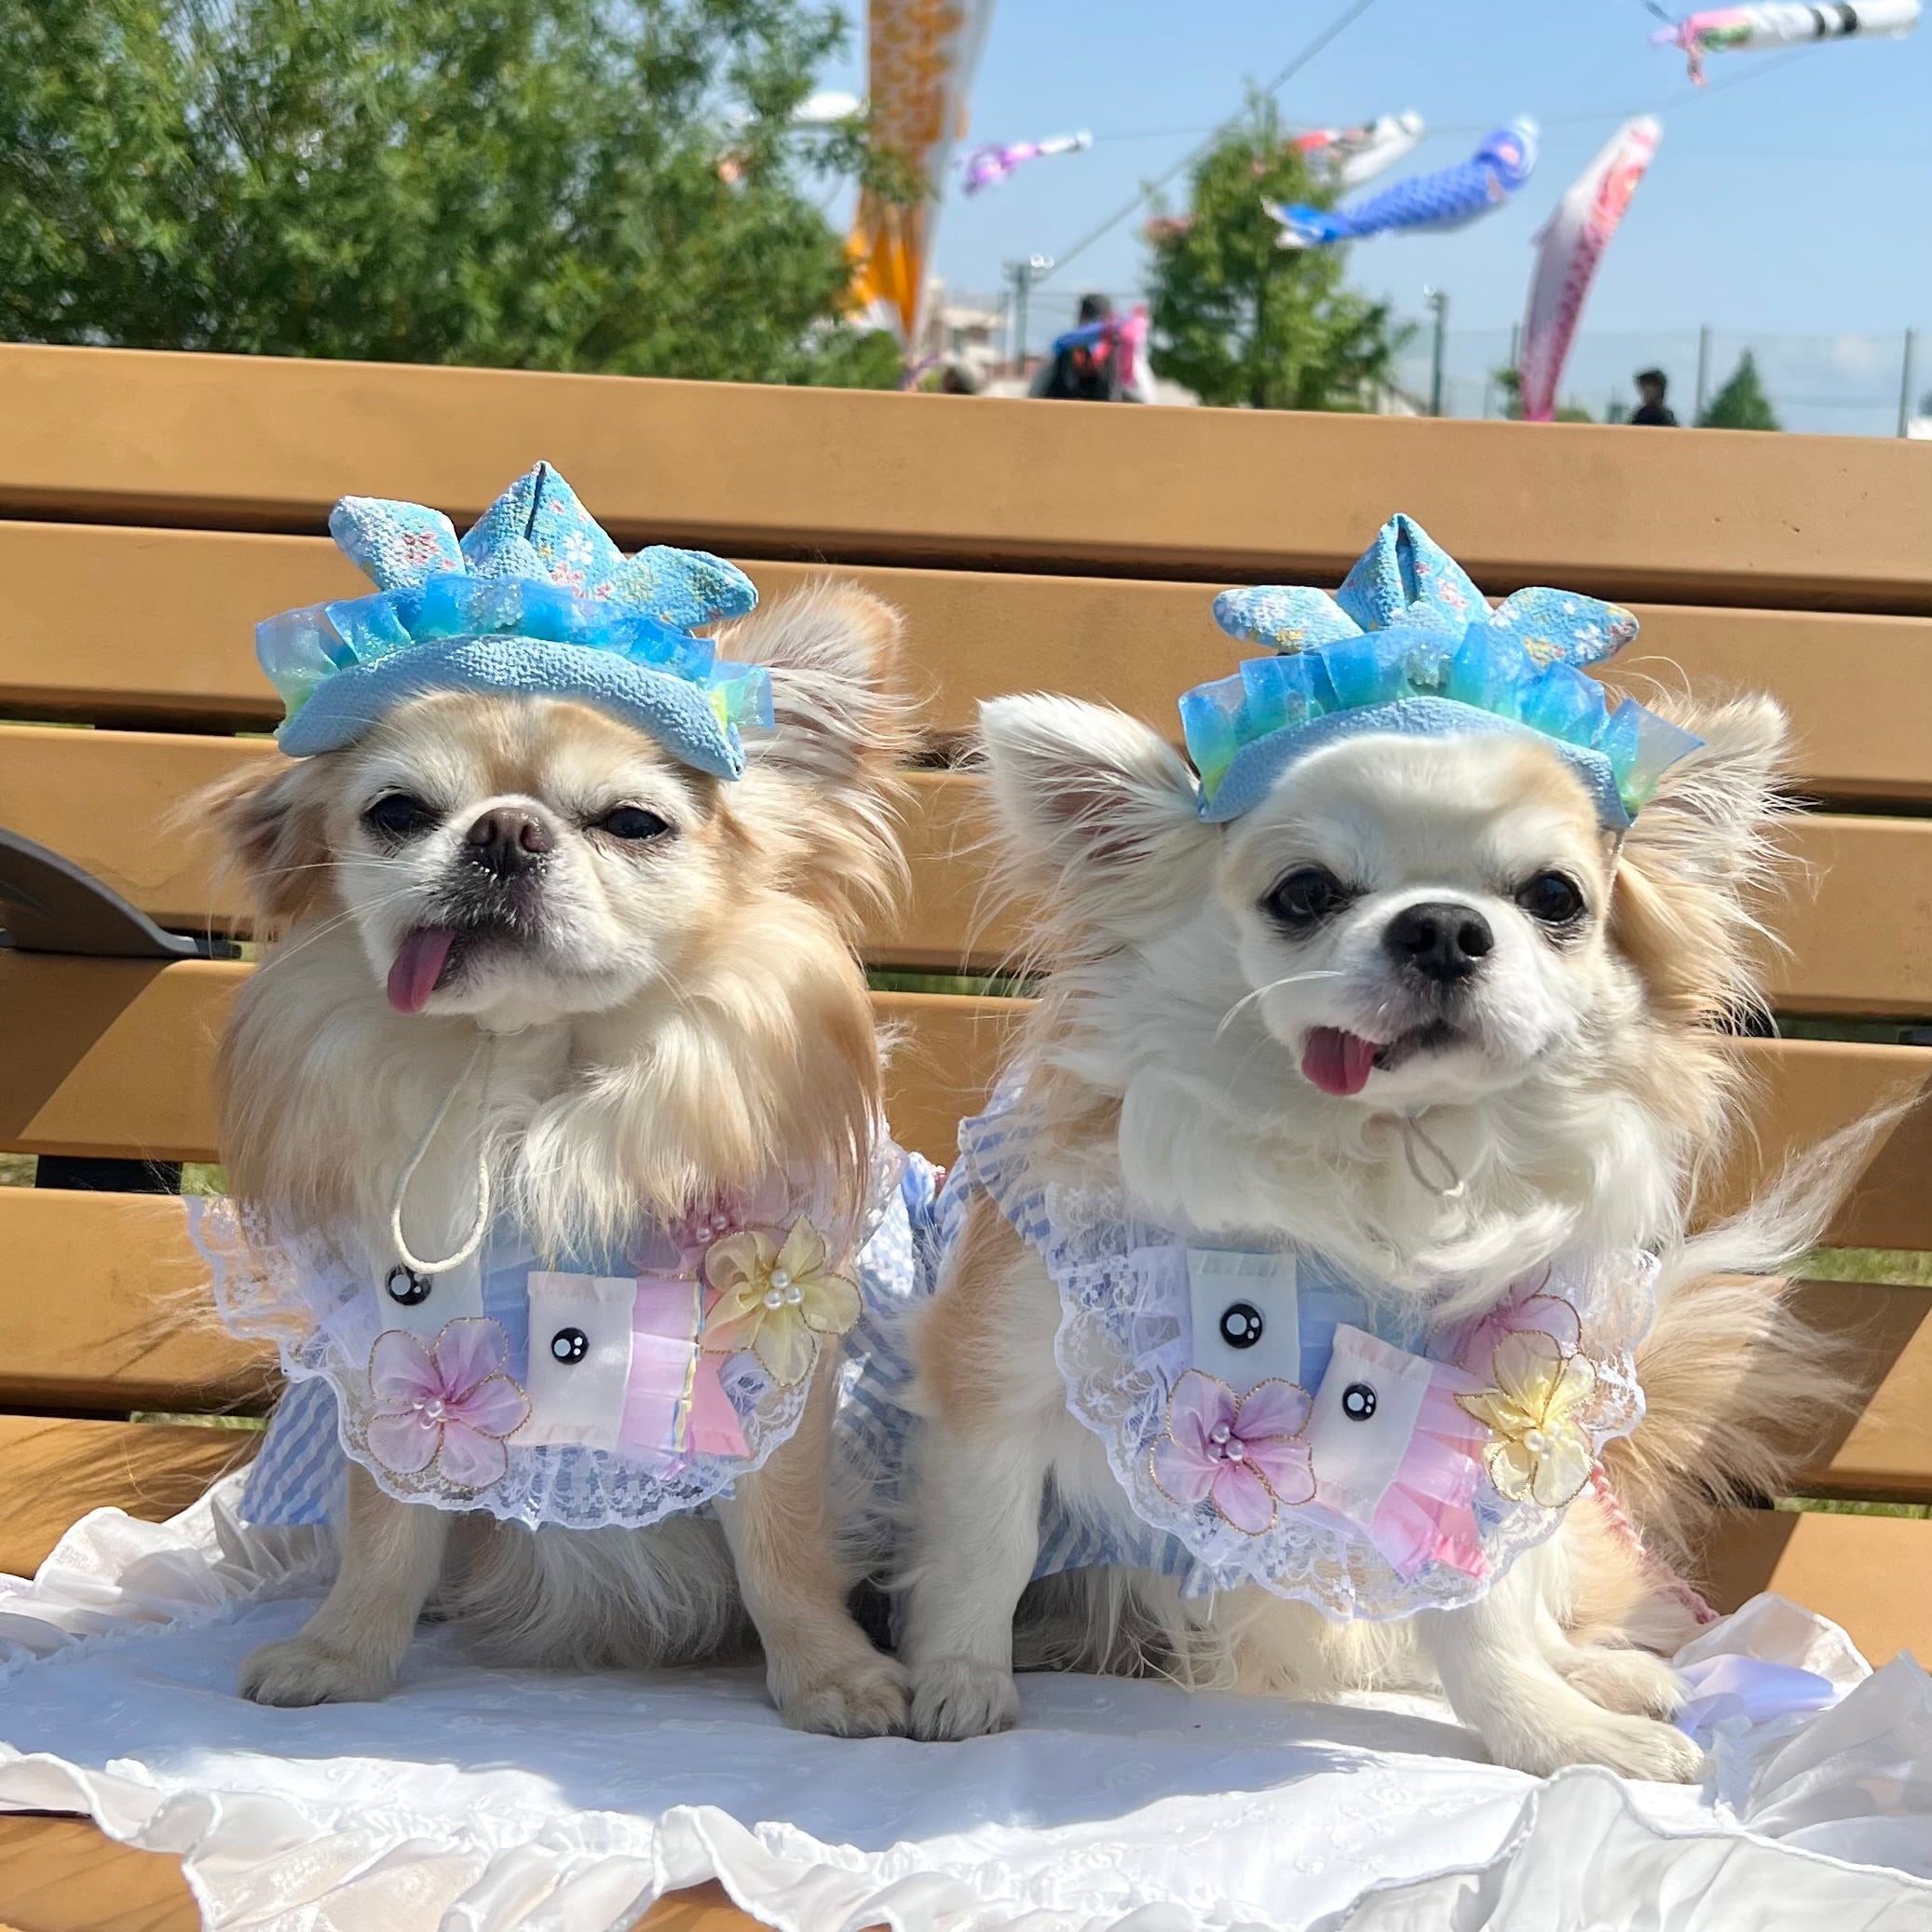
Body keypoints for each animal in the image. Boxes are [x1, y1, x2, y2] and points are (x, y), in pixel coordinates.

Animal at [203, 581, 919, 1735]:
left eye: (632, 822)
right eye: (396, 812)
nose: (503, 828)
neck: (531, 1095)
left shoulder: (766, 1371)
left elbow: (781, 1538)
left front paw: (828, 1672)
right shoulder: (390, 1349)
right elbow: (389, 1521)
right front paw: (345, 1650)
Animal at [898, 669, 1847, 1780]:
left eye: (1554, 898)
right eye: (1304, 893)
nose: (1440, 925)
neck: (1372, 1162)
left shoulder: (1462, 1449)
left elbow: (1482, 1628)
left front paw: (1552, 1732)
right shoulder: (991, 1384)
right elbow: (984, 1548)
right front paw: (957, 1682)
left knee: (1531, 1615)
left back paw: (1600, 1677)